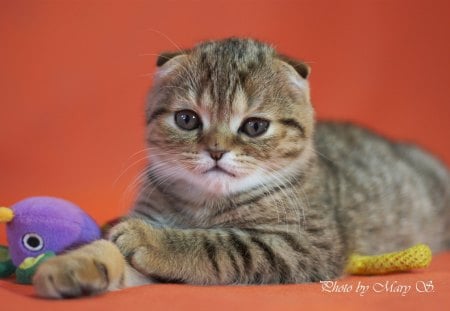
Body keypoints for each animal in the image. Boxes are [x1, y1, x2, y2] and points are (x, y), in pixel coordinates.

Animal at [32, 37, 450, 298]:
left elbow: (221, 245)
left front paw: (151, 240)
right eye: (187, 120)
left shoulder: (303, 245)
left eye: (254, 126)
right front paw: (71, 266)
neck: (204, 204)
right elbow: (107, 250)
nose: (216, 150)